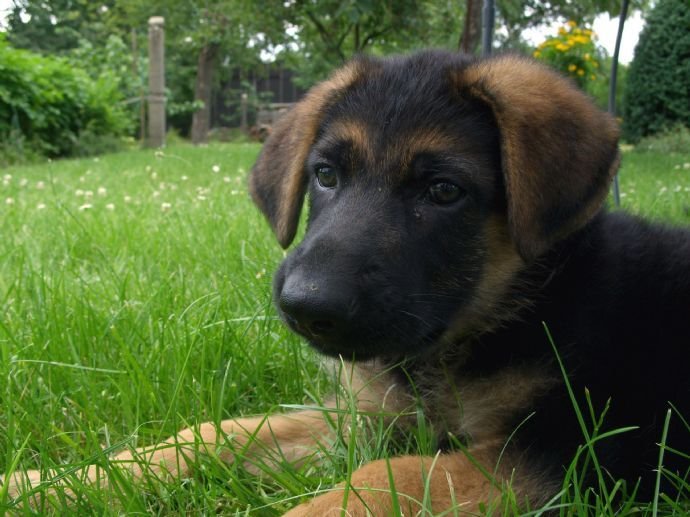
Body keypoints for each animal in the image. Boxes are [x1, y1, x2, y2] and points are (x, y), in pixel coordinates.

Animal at [5, 50, 688, 512]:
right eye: (326, 175)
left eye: (444, 191)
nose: (306, 306)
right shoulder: (366, 418)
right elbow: (215, 433)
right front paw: (45, 484)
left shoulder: (565, 450)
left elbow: (387, 479)